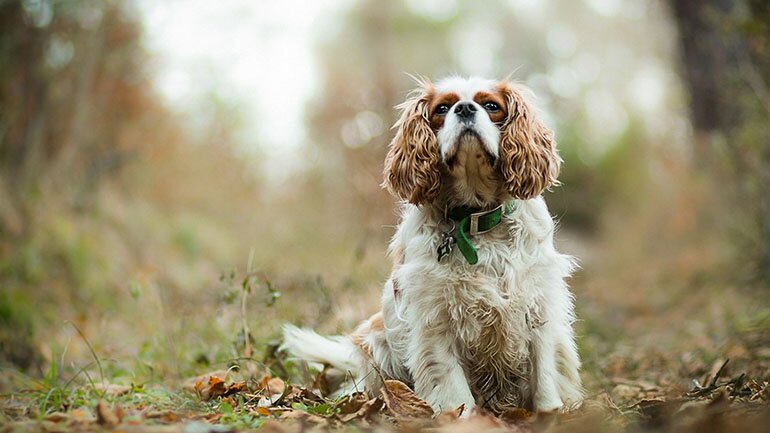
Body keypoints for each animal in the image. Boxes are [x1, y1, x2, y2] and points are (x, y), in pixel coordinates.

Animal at [284, 75, 584, 416]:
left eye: (491, 105)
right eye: (442, 108)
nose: (464, 108)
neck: (474, 220)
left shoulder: (537, 303)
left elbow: (544, 374)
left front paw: (550, 414)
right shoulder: (435, 316)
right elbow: (454, 387)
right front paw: (463, 419)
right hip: (378, 342)